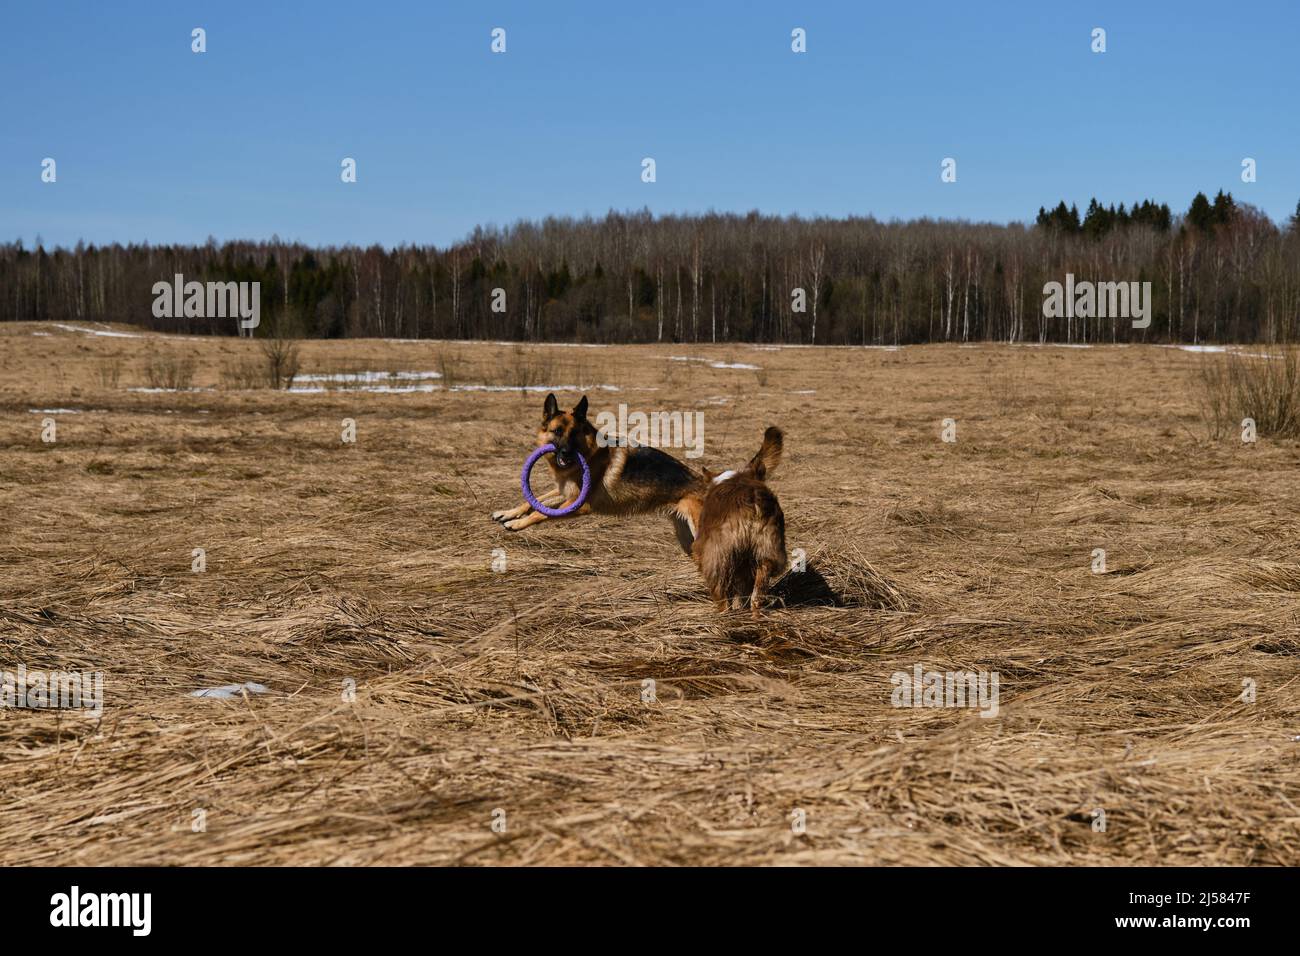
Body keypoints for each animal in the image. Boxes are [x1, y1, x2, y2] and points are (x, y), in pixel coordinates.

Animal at [488, 390, 712, 554]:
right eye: (557, 431)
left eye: (574, 433)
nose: (567, 454)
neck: (588, 454)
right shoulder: (563, 491)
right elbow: (533, 501)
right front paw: (508, 513)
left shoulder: (579, 504)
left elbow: (540, 513)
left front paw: (516, 524)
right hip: (686, 539)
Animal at [696, 426, 785, 621]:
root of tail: (752, 501)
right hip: (766, 551)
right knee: (756, 595)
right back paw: (755, 617)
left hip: (718, 556)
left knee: (722, 594)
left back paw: (724, 616)